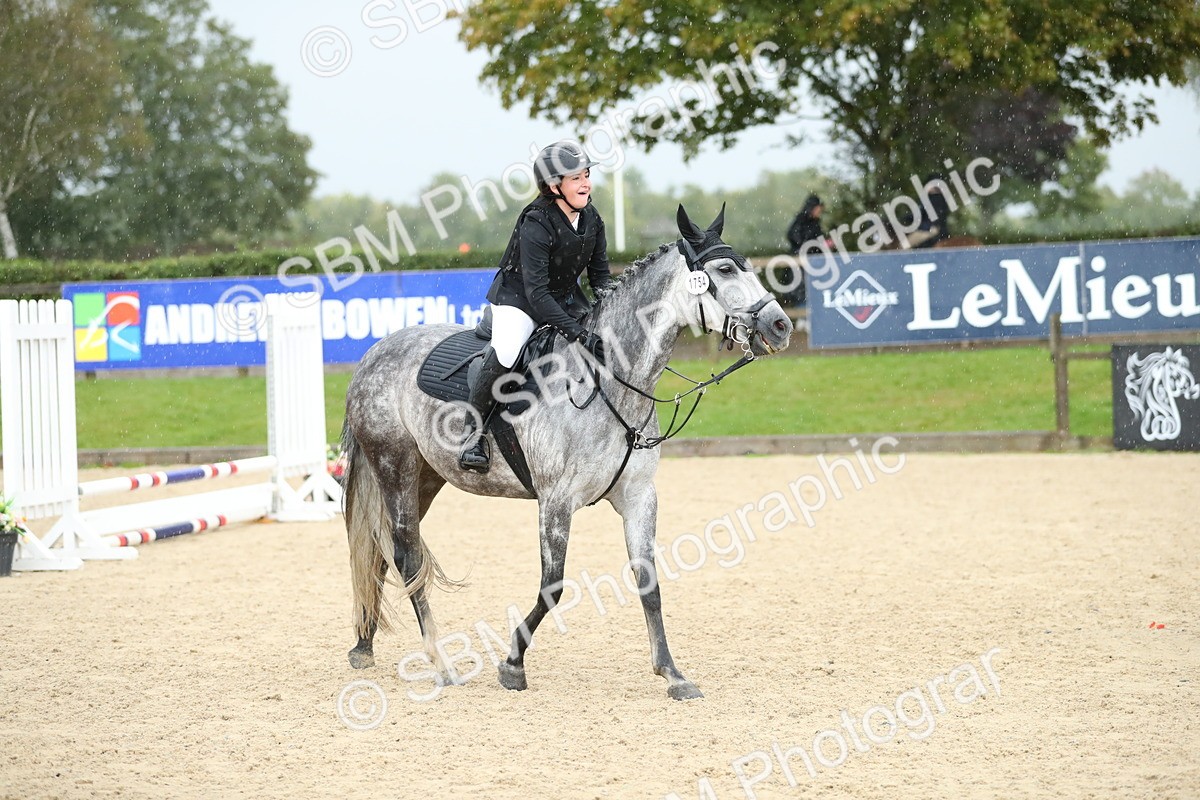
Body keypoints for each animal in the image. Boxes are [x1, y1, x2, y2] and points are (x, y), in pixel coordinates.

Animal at [339, 204, 793, 700]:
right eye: (725, 270)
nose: (781, 326)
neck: (609, 381)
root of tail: (375, 353)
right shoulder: (556, 500)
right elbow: (552, 586)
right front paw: (513, 665)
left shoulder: (639, 496)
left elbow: (648, 581)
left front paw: (672, 673)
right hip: (394, 464)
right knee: (406, 555)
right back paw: (439, 663)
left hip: (426, 476)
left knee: (381, 550)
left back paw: (363, 646)